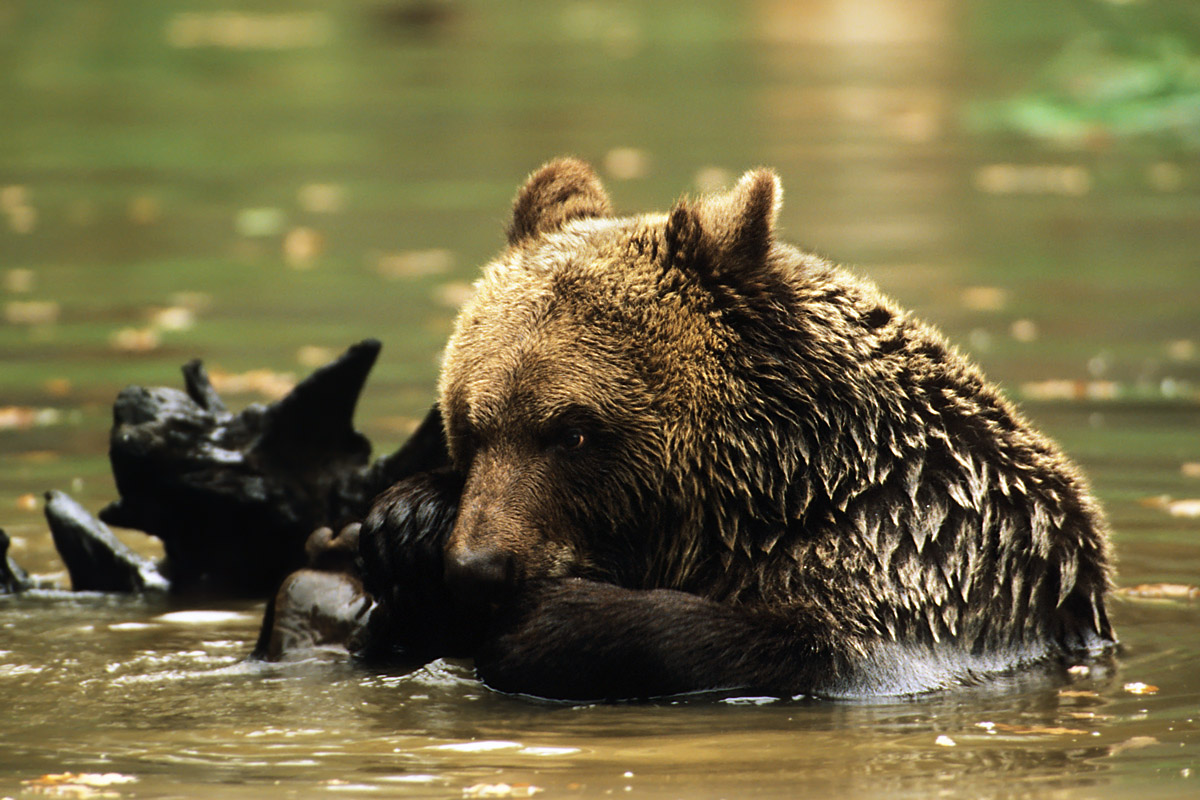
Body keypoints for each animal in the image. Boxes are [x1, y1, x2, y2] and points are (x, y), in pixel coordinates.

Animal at [356, 157, 1116, 701]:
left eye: (572, 432)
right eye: (471, 424)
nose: (478, 568)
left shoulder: (924, 552)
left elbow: (818, 646)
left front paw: (548, 623)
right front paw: (409, 522)